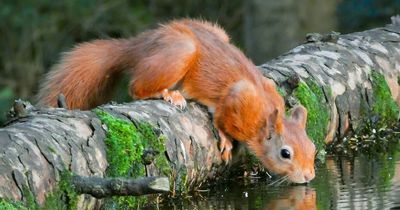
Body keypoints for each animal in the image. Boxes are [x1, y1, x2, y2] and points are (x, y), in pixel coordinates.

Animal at [36, 19, 316, 184]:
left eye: (312, 148)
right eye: (285, 153)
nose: (309, 175)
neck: (263, 115)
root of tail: (140, 45)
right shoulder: (237, 98)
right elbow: (221, 119)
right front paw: (226, 139)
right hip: (180, 52)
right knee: (136, 87)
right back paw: (168, 93)